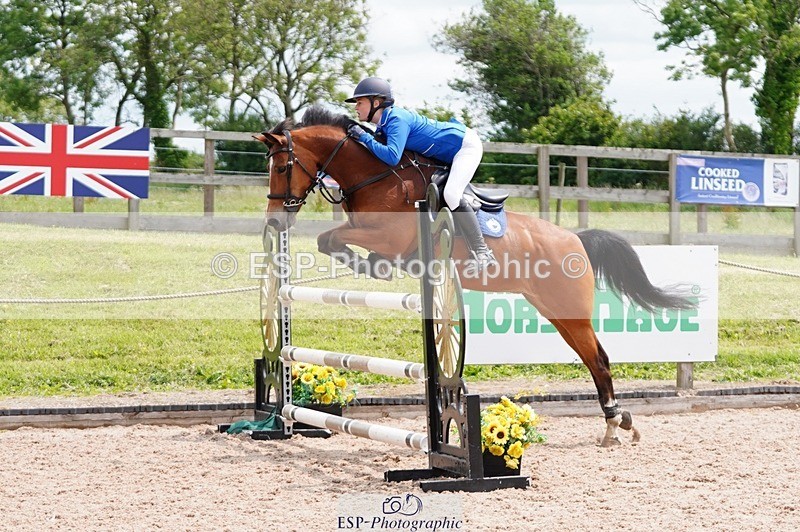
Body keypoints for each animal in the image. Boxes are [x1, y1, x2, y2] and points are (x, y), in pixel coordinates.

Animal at [255, 105, 694, 447]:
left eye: (283, 166)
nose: (274, 221)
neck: (376, 175)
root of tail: (576, 239)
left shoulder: (388, 236)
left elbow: (334, 238)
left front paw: (370, 265)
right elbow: (329, 240)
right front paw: (367, 265)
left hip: (569, 310)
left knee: (599, 360)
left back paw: (614, 424)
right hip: (556, 312)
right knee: (593, 358)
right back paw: (620, 423)